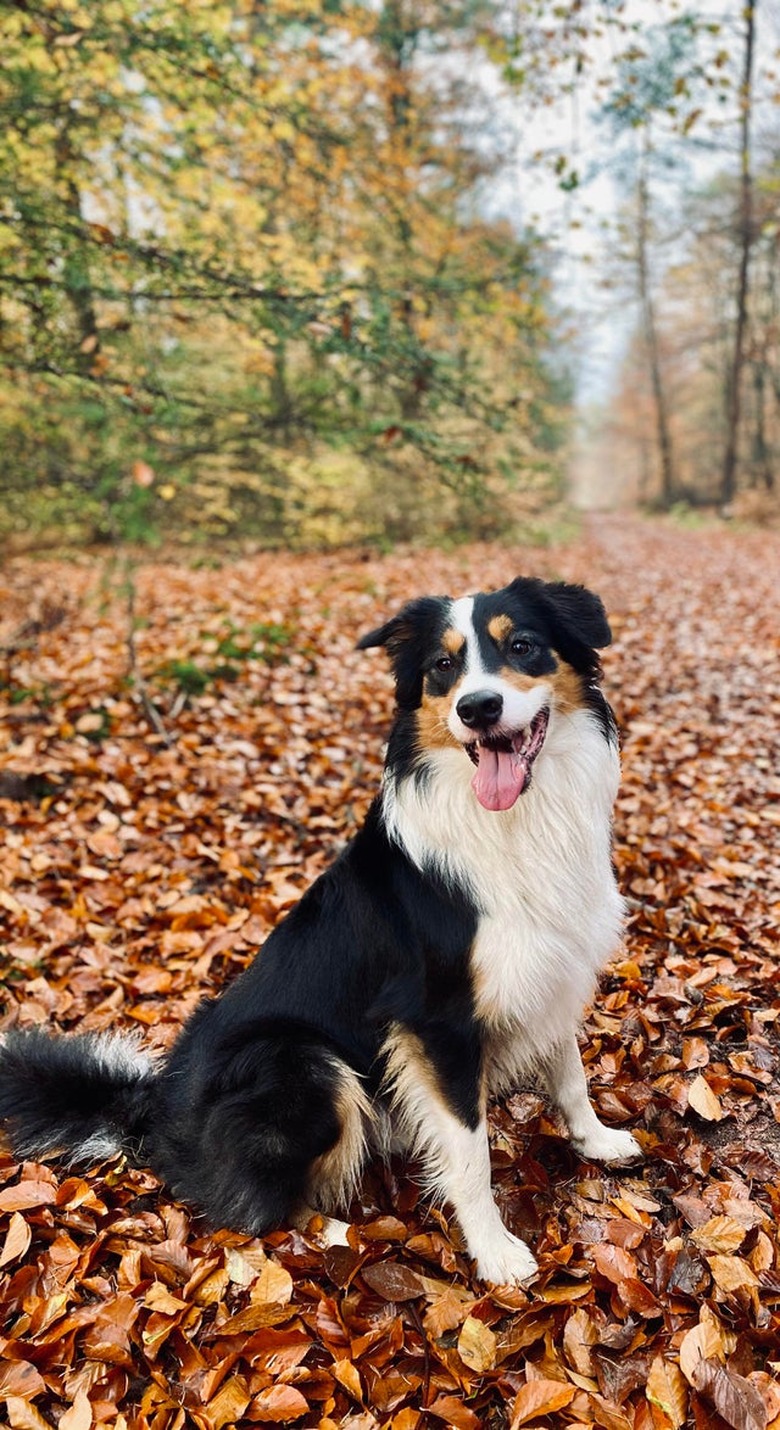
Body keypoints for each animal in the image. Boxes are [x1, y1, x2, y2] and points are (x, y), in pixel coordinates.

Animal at [0, 577, 638, 1287]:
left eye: (522, 646)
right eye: (443, 666)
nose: (477, 708)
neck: (517, 819)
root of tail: (158, 1109)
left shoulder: (558, 967)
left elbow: (570, 1072)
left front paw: (595, 1140)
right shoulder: (436, 1020)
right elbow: (471, 1153)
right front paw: (495, 1251)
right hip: (303, 1062)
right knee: (252, 1209)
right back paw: (340, 1235)